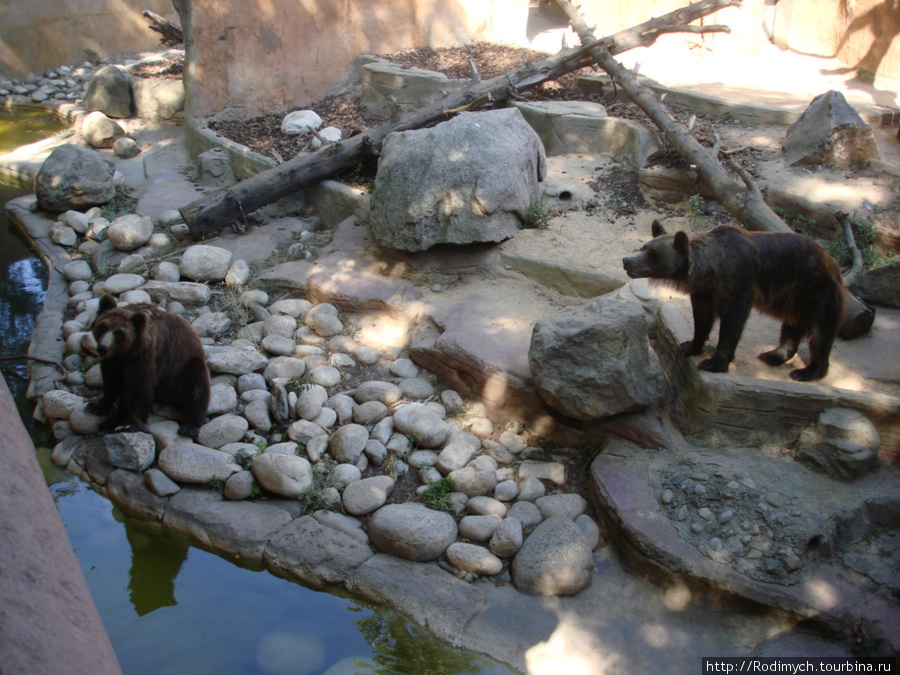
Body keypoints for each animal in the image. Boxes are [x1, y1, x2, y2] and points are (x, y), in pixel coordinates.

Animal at [85, 296, 211, 438]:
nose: (103, 347)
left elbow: (139, 389)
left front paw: (130, 425)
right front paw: (95, 405)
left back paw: (189, 427)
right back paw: (109, 422)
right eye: (103, 326)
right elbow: (110, 383)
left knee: (196, 391)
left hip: (184, 366)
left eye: (119, 333)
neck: (125, 354)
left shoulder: (144, 359)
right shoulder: (113, 361)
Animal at [624, 220, 848, 382]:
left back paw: (807, 371)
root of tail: (833, 262)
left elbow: (732, 323)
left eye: (653, 253)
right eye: (644, 247)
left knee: (820, 332)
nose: (627, 261)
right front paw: (689, 346)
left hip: (817, 292)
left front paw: (714, 363)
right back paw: (774, 354)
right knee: (792, 326)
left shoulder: (736, 283)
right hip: (793, 299)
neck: (710, 270)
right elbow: (702, 320)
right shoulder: (705, 292)